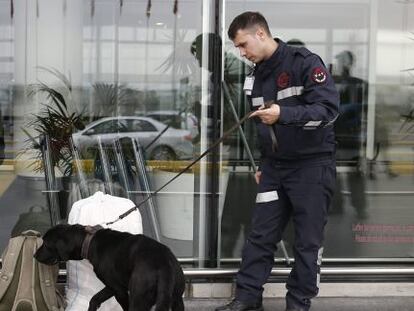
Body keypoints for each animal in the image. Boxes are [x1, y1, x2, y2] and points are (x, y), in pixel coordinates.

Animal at [35, 224, 184, 311]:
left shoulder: (119, 291)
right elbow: (94, 299)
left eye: (46, 243)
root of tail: (163, 263)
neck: (89, 240)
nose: (34, 255)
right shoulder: (113, 287)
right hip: (177, 300)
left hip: (139, 299)